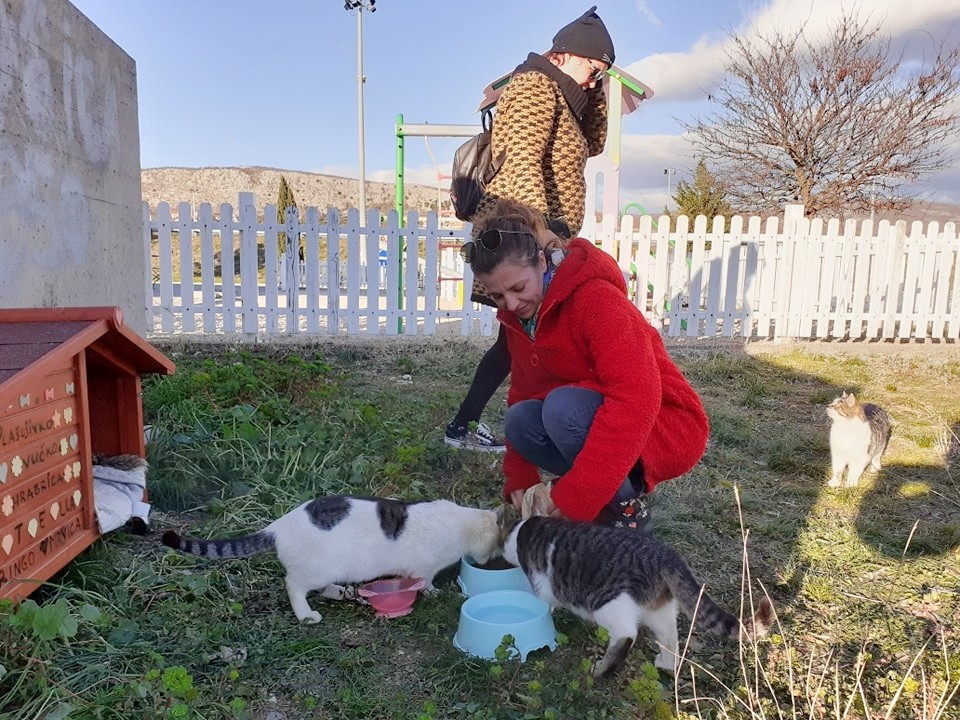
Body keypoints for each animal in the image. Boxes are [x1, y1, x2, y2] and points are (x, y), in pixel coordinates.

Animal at [162, 498, 502, 620]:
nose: (492, 560)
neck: (459, 523)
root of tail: (278, 526)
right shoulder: (423, 567)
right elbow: (426, 582)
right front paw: (434, 593)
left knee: (323, 588)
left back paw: (344, 593)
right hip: (318, 569)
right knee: (293, 585)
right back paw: (306, 614)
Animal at [498, 516, 776, 676]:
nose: (502, 554)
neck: (525, 530)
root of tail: (666, 556)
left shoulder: (541, 583)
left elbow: (545, 602)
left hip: (607, 602)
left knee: (626, 634)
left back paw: (602, 670)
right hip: (658, 609)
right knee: (670, 637)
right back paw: (666, 664)